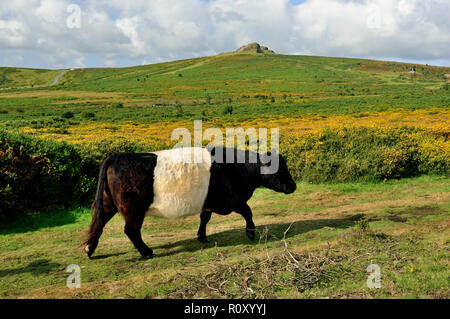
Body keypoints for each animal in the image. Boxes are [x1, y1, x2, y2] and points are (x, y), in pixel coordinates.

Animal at [82, 148, 298, 260]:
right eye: (281, 169)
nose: (293, 185)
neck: (239, 167)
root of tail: (117, 155)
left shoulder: (209, 203)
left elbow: (205, 217)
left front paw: (202, 236)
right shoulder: (234, 201)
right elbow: (248, 212)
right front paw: (251, 233)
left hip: (108, 203)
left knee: (98, 223)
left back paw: (90, 249)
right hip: (133, 209)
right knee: (131, 230)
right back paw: (147, 252)